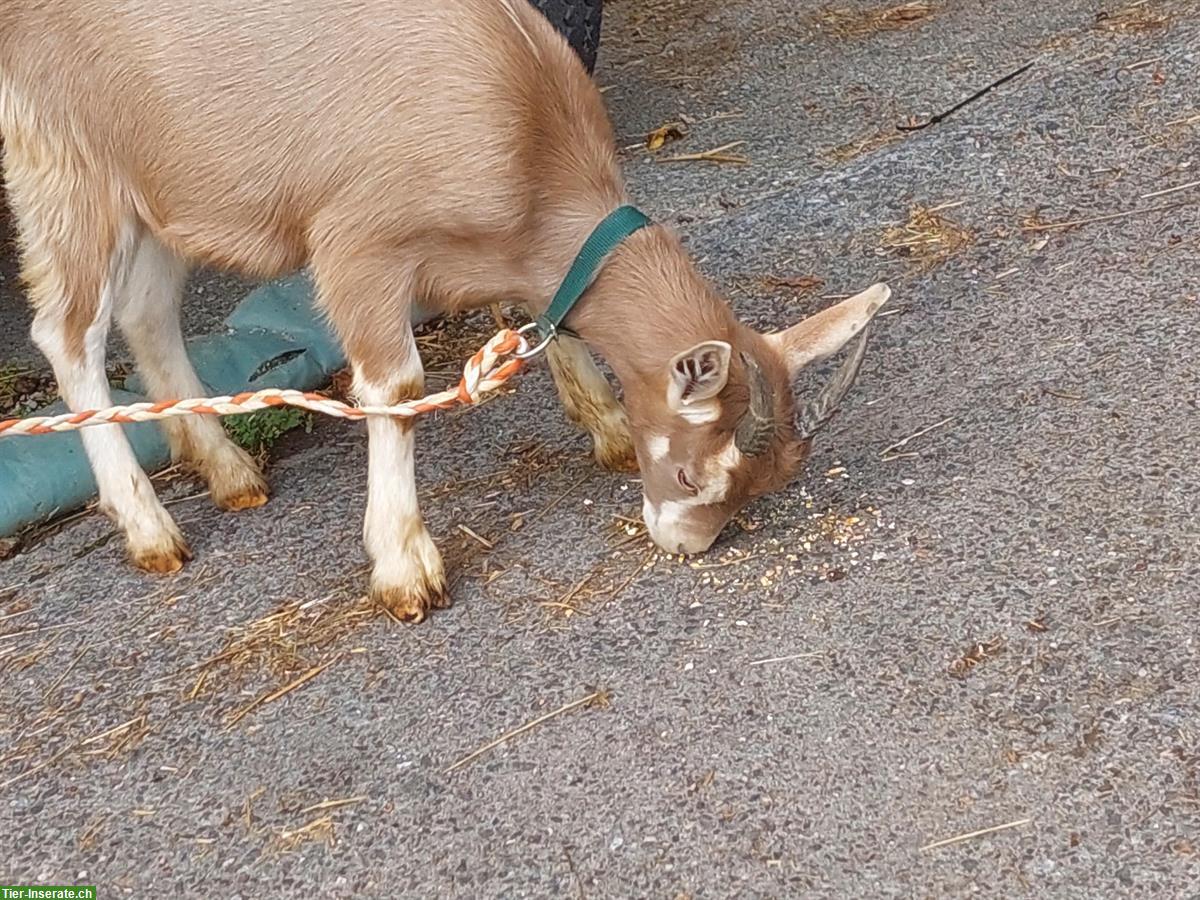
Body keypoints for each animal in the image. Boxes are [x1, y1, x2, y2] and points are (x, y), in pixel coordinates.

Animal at [0, 0, 883, 619]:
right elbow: (395, 388)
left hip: (160, 181)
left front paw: (605, 424)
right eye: (695, 471)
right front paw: (405, 569)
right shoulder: (358, 244)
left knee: (147, 310)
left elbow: (540, 310)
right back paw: (150, 529)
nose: (686, 546)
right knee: (68, 331)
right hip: (63, 164)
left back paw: (228, 471)